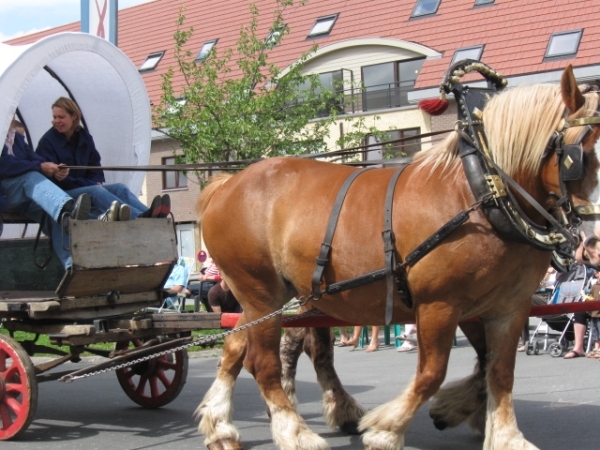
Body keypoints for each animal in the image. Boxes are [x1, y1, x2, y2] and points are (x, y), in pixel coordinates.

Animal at [195, 64, 600, 450]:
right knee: (263, 362)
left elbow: (498, 371)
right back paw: (293, 431)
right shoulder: (440, 305)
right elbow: (432, 373)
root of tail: (227, 184)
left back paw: (222, 426)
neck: (482, 192)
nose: (592, 243)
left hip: (280, 298)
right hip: (260, 293)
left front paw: (500, 433)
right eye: (579, 156)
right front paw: (387, 430)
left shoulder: (505, 307)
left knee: (240, 347)